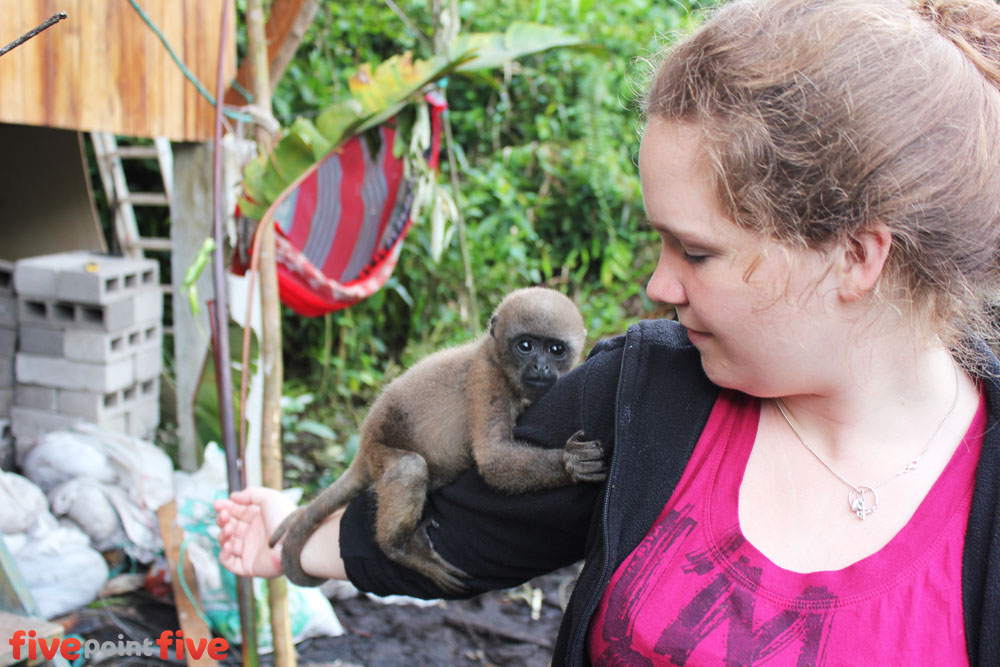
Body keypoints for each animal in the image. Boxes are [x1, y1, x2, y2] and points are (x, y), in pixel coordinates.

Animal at [270, 290, 604, 592]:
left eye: (556, 349)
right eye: (525, 345)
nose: (540, 366)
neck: (493, 353)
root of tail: (363, 445)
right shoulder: (487, 376)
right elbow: (493, 457)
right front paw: (569, 462)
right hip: (380, 452)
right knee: (409, 468)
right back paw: (400, 548)